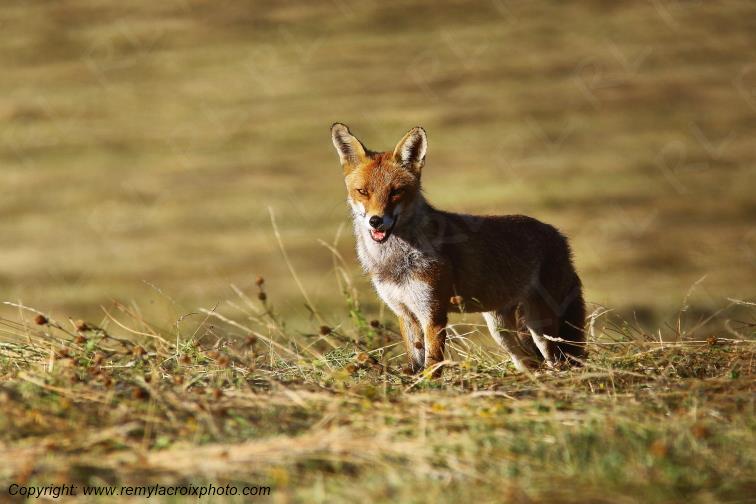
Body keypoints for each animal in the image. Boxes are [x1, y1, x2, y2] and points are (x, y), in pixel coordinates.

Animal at [330, 123, 587, 375]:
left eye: (396, 192)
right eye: (363, 191)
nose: (376, 221)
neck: (395, 261)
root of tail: (559, 235)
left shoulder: (432, 313)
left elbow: (432, 366)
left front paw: (429, 383)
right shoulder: (405, 313)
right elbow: (414, 363)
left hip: (541, 327)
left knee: (558, 360)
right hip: (501, 331)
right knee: (530, 362)